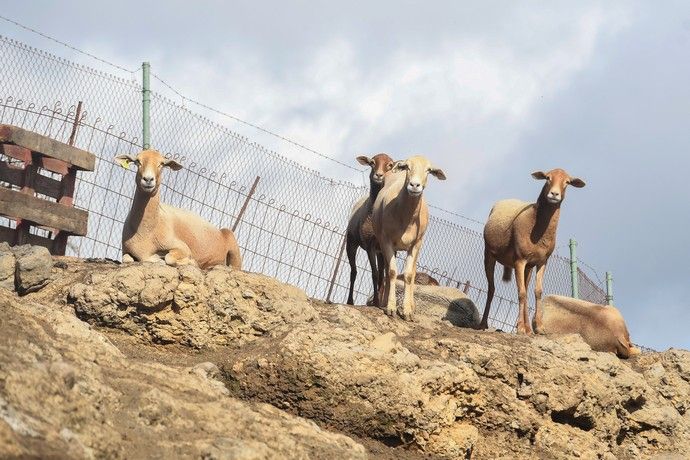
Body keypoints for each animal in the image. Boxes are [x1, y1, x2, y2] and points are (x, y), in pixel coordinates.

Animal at [344, 153, 392, 308]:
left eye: (390, 165)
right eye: (372, 163)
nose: (379, 175)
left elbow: (384, 274)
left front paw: (380, 303)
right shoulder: (370, 245)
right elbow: (374, 273)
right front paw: (376, 301)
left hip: (380, 251)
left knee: (382, 273)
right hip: (351, 243)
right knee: (354, 271)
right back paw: (350, 301)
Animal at [370, 155, 446, 320]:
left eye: (429, 170)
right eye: (407, 167)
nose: (415, 185)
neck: (406, 217)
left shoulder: (415, 245)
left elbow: (409, 275)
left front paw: (407, 311)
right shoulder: (386, 241)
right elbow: (392, 272)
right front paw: (391, 307)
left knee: (414, 271)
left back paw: (412, 305)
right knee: (387, 270)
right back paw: (385, 302)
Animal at [476, 169, 584, 334]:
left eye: (567, 182)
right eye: (547, 178)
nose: (554, 194)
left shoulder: (542, 262)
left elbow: (537, 291)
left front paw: (538, 327)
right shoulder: (519, 260)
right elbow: (521, 293)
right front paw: (521, 327)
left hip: (528, 267)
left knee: (524, 289)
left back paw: (527, 328)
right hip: (489, 254)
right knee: (492, 289)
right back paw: (483, 324)